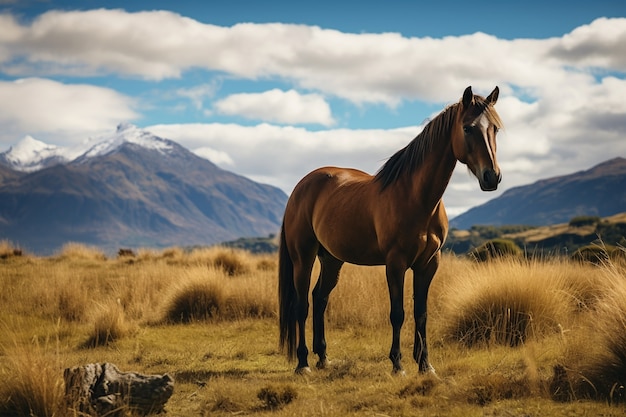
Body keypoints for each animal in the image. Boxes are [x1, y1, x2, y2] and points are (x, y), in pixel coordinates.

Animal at [278, 85, 502, 374]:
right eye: (467, 128)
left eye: (495, 129)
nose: (492, 177)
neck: (416, 198)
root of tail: (301, 187)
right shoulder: (395, 263)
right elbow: (398, 314)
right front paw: (398, 363)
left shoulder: (429, 263)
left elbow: (421, 313)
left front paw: (425, 364)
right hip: (302, 258)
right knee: (302, 305)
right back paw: (303, 362)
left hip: (332, 259)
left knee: (320, 298)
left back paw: (323, 357)